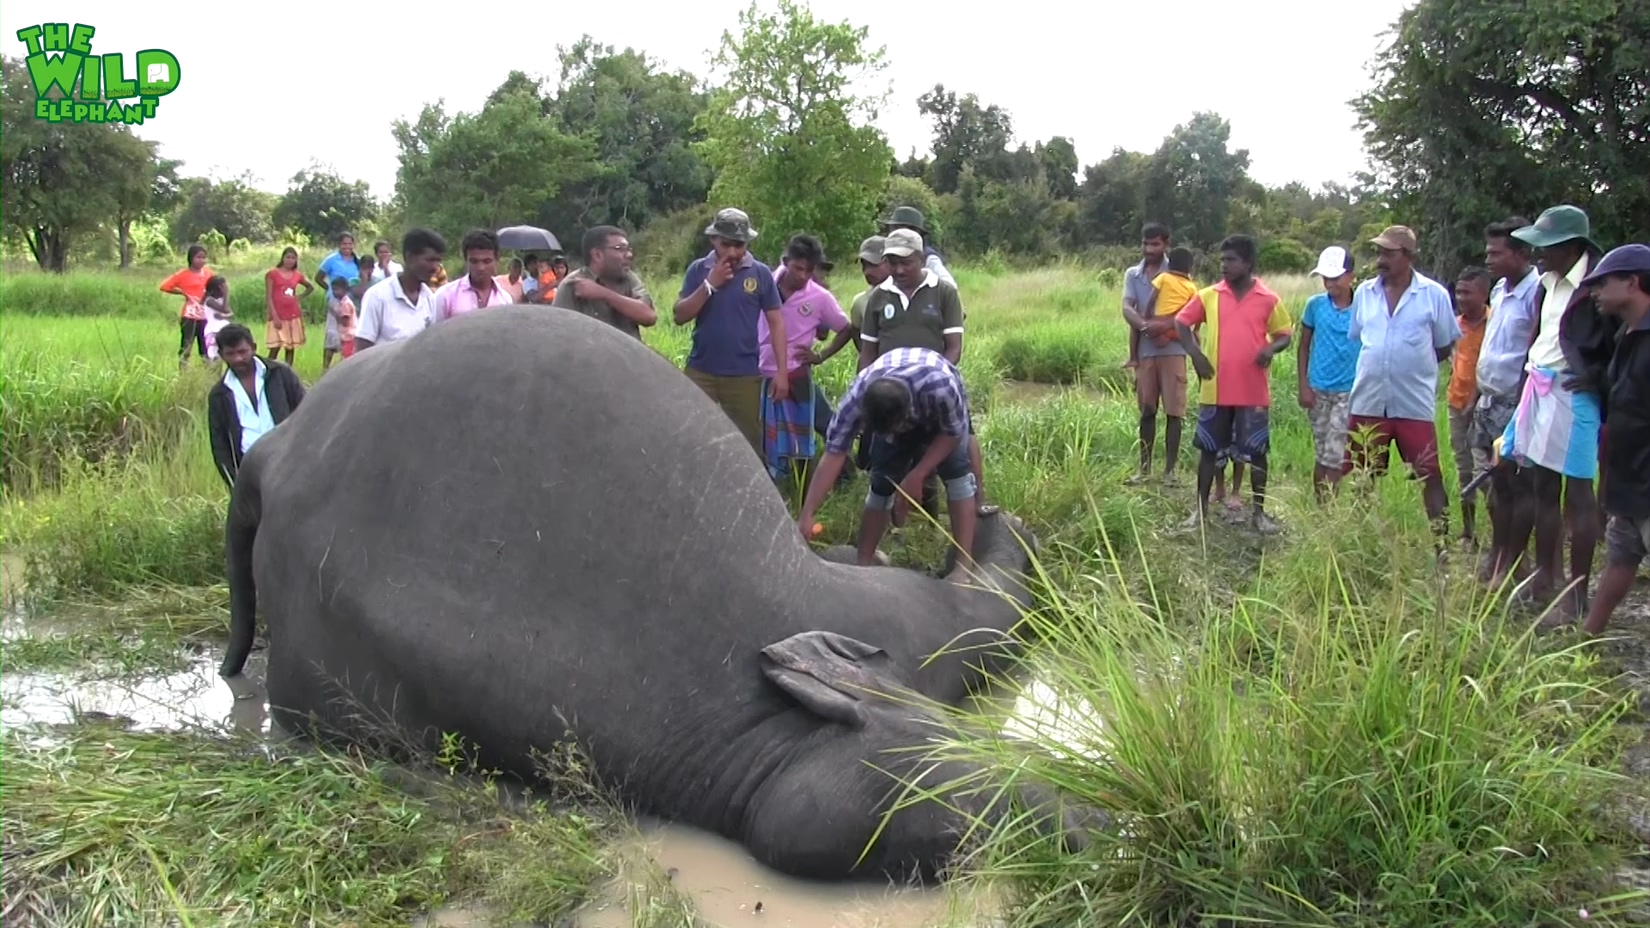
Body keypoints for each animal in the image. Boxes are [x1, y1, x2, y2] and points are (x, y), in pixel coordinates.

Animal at [218, 306, 1084, 882]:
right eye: (943, 810)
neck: (755, 735)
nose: (1095, 822)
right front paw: (1004, 536)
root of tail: (269, 456)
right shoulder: (902, 632)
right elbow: (974, 613)